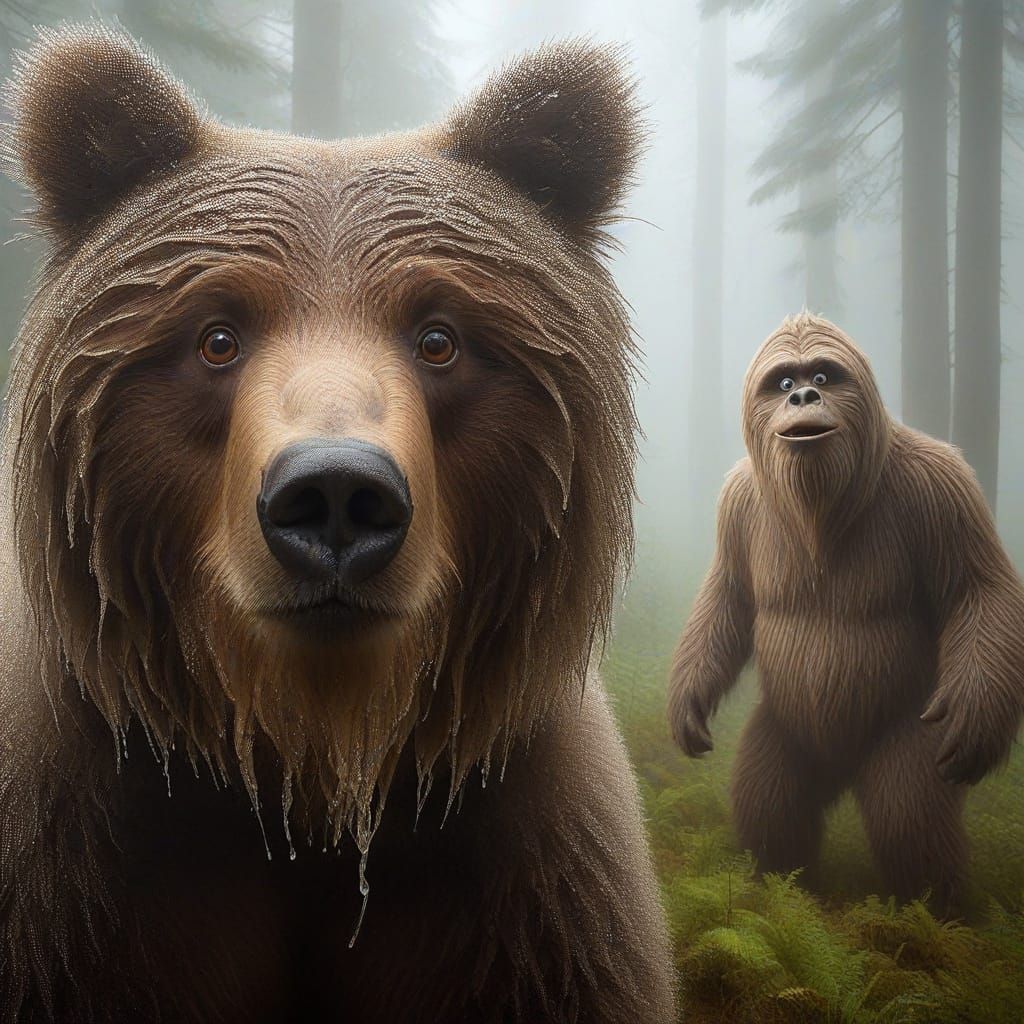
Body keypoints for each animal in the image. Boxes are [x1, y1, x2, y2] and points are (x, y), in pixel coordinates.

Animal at [0, 25, 675, 1023]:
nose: (334, 496)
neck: (316, 765)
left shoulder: (522, 892)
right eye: (217, 337)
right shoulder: (78, 878)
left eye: (439, 338)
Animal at [668, 313, 1024, 913]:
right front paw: (688, 698)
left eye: (822, 376)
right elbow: (729, 598)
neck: (824, 513)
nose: (804, 396)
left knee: (907, 812)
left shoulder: (941, 483)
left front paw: (977, 720)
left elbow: (979, 590)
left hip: (907, 727)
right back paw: (784, 893)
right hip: (788, 731)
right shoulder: (738, 499)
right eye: (784, 383)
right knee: (769, 802)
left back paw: (941, 918)